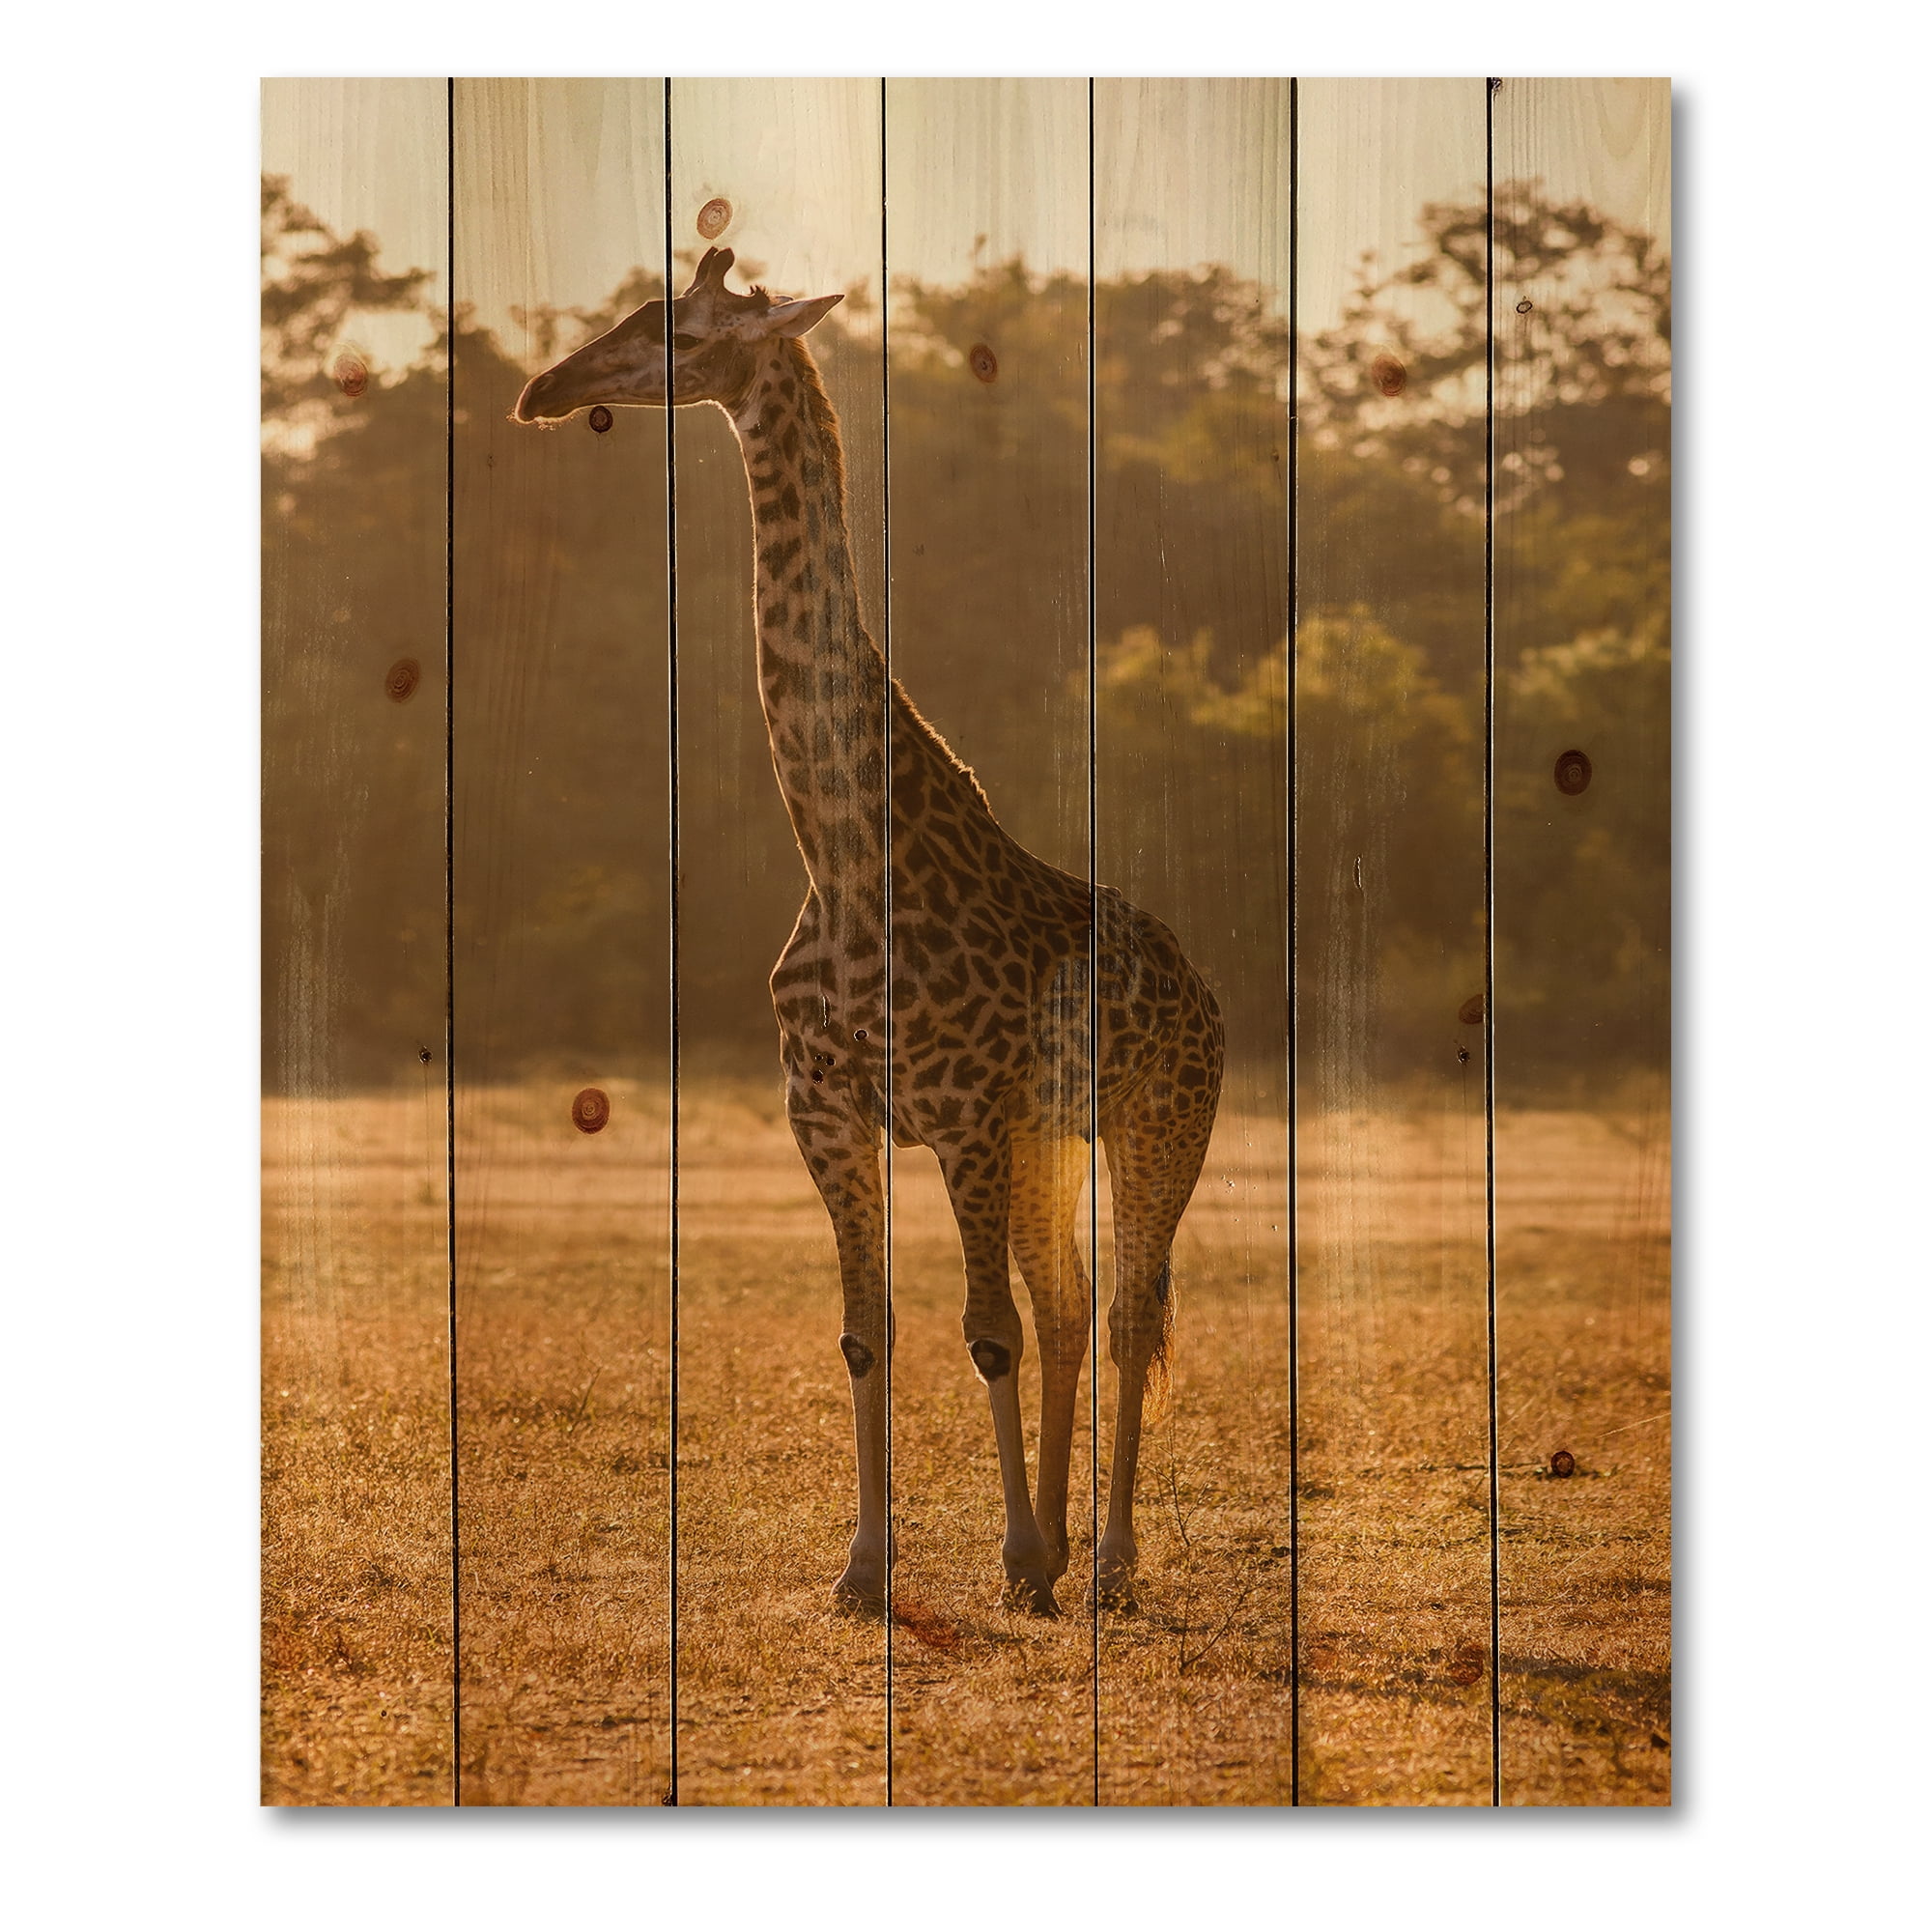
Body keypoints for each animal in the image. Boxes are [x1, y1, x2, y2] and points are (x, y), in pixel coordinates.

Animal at [515, 246, 1224, 1616]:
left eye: (676, 330)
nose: (543, 388)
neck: (843, 853)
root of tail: (1204, 988)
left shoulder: (961, 1118)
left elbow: (983, 1332)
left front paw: (1014, 1551)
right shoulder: (831, 1113)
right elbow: (868, 1330)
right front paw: (870, 1565)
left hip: (1160, 1122)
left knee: (1125, 1312)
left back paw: (1104, 1560)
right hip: (1050, 1139)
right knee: (1071, 1305)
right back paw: (1064, 1548)